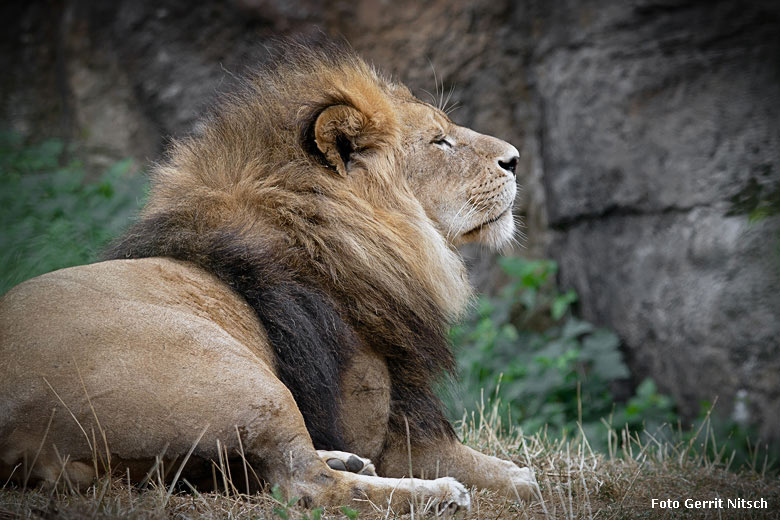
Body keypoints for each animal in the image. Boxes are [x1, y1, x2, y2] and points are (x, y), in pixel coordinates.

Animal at [0, 41, 536, 512]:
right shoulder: (378, 416)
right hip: (240, 376)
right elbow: (472, 466)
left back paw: (347, 460)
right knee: (309, 485)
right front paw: (498, 480)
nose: (515, 159)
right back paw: (436, 495)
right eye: (439, 140)